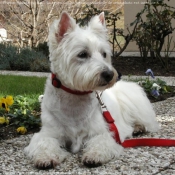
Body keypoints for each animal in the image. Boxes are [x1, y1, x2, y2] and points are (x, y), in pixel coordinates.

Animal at [24, 11, 160, 169]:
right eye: (82, 54)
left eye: (104, 54)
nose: (110, 74)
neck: (75, 99)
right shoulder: (49, 133)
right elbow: (44, 142)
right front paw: (46, 157)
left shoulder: (103, 132)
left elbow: (101, 141)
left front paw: (94, 155)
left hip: (133, 103)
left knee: (147, 122)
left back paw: (139, 127)